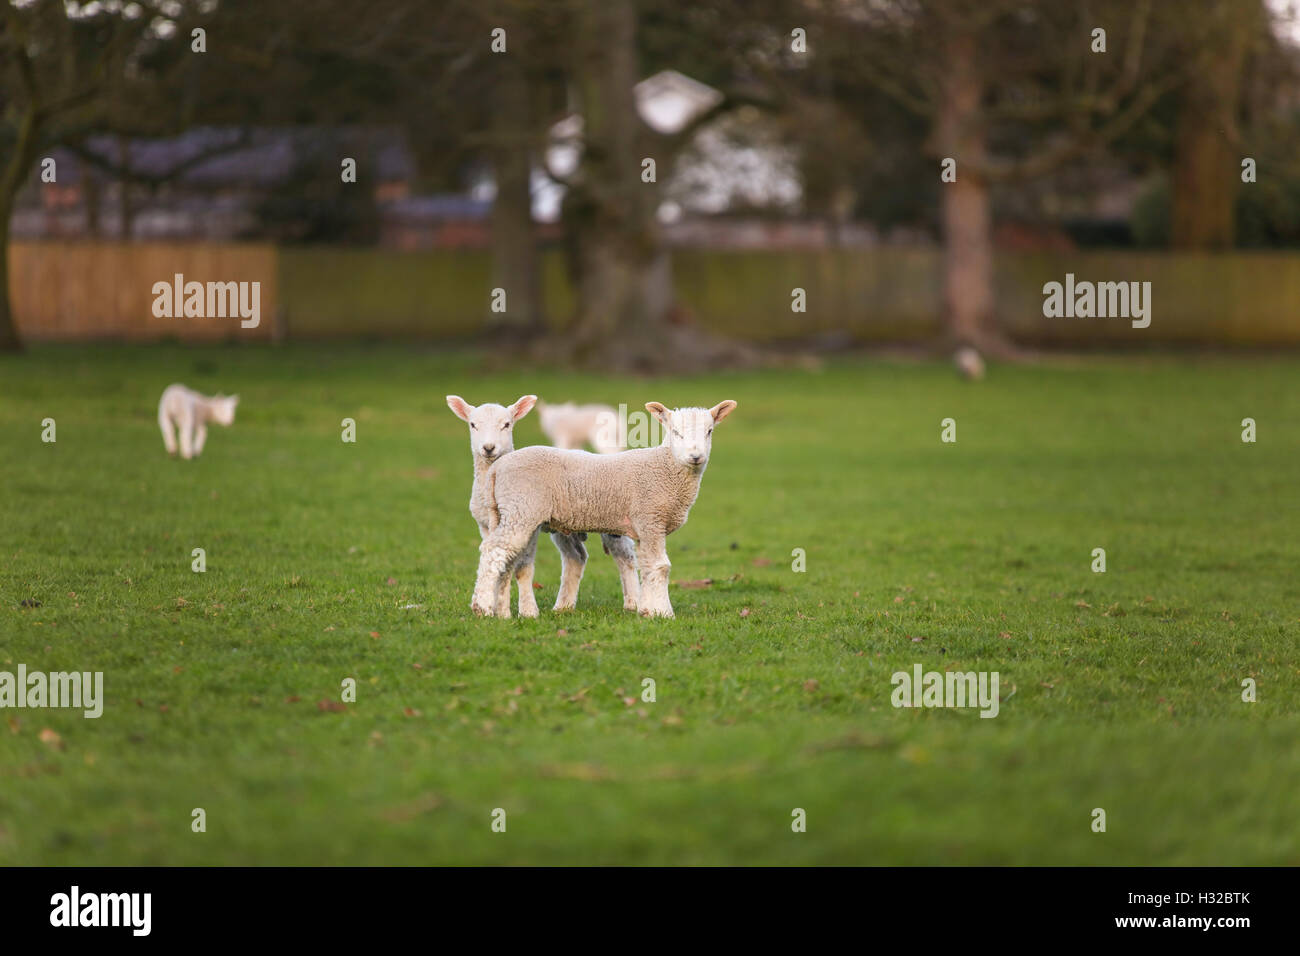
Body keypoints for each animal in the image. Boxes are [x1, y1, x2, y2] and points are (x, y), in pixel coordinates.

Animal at [470, 398, 738, 616]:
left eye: (709, 431)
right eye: (675, 432)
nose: (696, 456)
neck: (666, 467)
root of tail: (497, 468)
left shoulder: (644, 526)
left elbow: (647, 567)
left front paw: (647, 610)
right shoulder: (650, 518)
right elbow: (661, 567)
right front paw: (664, 613)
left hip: (509, 512)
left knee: (505, 557)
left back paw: (502, 611)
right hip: (521, 509)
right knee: (493, 550)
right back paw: (482, 607)